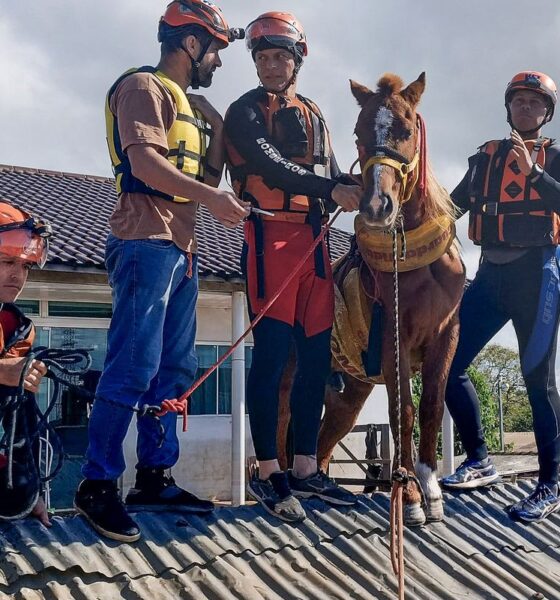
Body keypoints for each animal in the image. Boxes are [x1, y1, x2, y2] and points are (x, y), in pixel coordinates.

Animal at [278, 74, 466, 524]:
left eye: (407, 129)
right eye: (358, 134)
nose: (378, 206)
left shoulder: (446, 334)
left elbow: (431, 406)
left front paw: (431, 488)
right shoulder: (394, 336)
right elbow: (403, 412)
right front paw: (410, 495)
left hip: (349, 390)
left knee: (327, 437)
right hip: (292, 369)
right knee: (280, 421)